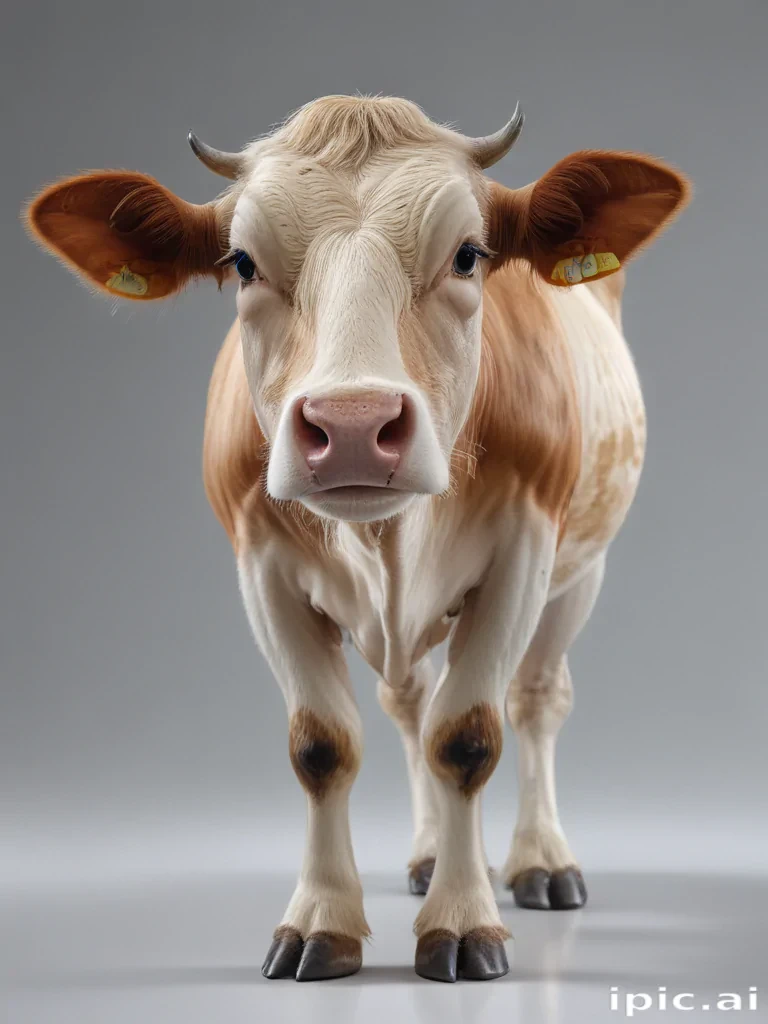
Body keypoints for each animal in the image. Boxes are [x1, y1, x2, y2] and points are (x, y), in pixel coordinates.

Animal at [26, 94, 690, 984]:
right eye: (242, 263)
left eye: (470, 254)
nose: (349, 426)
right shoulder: (260, 566)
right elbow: (323, 746)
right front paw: (323, 920)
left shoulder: (525, 548)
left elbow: (469, 735)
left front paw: (464, 920)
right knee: (408, 702)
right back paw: (428, 854)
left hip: (582, 568)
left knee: (536, 699)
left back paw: (538, 860)